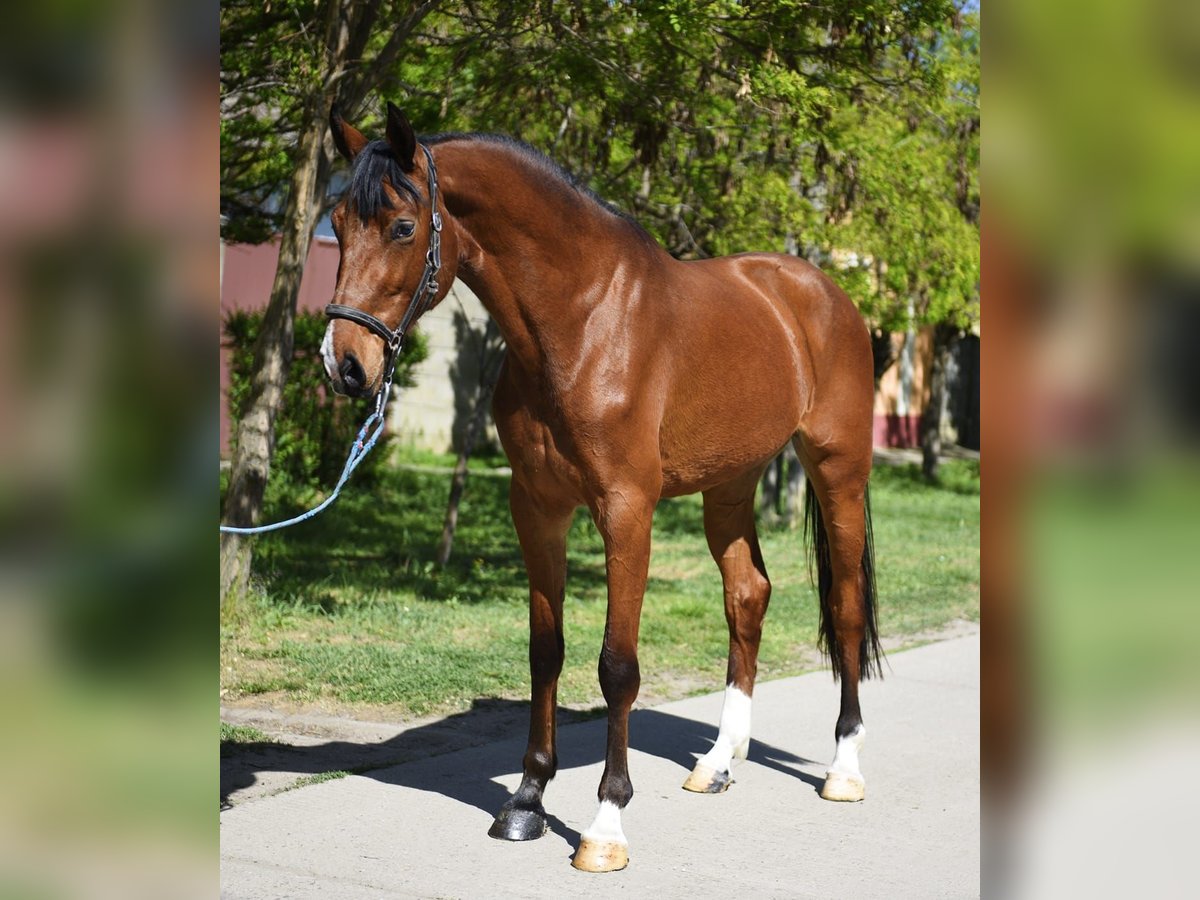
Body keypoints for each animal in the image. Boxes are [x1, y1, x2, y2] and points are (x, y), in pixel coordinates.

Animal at [321, 102, 884, 873]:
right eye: (337, 223)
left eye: (404, 228)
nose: (344, 365)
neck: (582, 321)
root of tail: (822, 294)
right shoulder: (536, 508)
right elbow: (545, 651)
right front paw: (526, 801)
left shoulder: (626, 511)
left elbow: (617, 666)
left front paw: (605, 826)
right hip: (730, 485)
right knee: (748, 596)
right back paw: (718, 761)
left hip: (837, 472)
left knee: (846, 607)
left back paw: (845, 769)